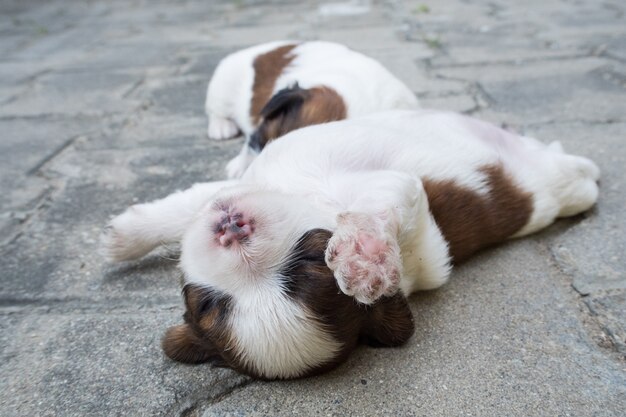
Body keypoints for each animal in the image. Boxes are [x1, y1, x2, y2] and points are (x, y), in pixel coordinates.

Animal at [103, 109, 600, 380]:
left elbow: (376, 211)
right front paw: (124, 238)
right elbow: (184, 208)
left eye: (307, 259)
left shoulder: (399, 190)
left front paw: (363, 255)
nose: (232, 230)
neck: (311, 197)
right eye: (208, 304)